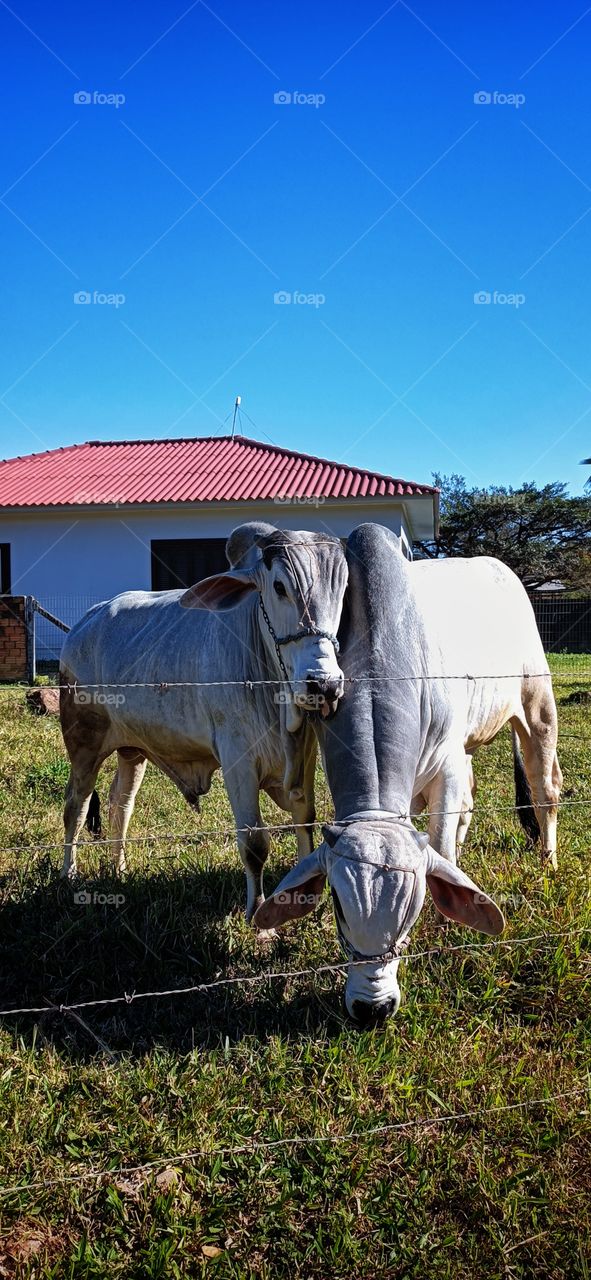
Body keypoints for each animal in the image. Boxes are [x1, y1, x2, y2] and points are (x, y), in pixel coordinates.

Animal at [59, 523, 348, 921]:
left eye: (343, 587)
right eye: (279, 587)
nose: (324, 684)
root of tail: (85, 622)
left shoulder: (304, 756)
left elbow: (306, 820)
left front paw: (303, 902)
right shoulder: (238, 759)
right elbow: (255, 842)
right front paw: (258, 919)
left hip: (132, 750)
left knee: (121, 803)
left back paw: (118, 869)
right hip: (84, 742)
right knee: (76, 805)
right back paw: (68, 875)